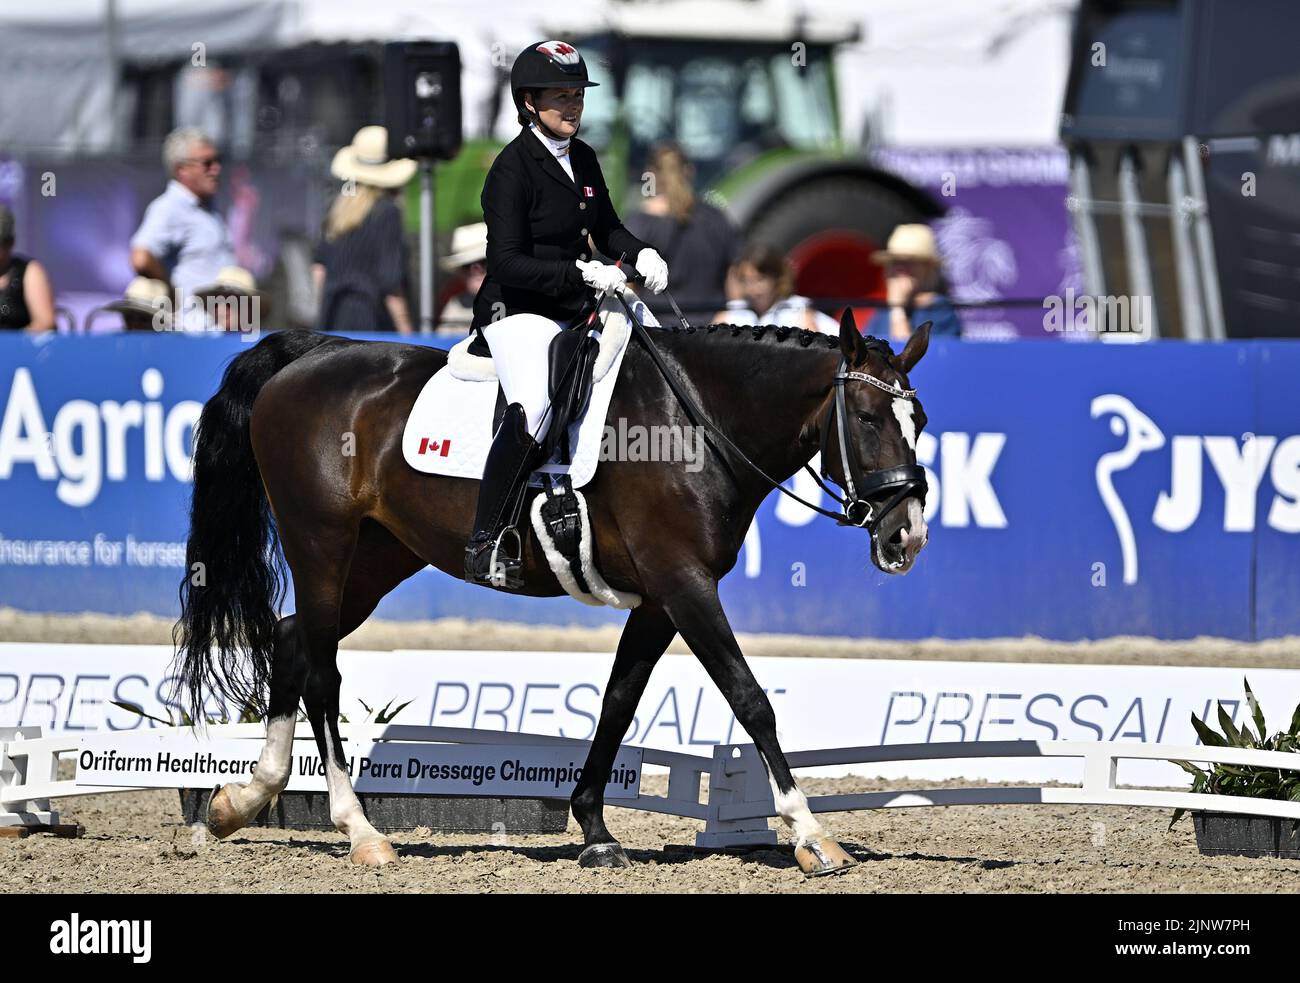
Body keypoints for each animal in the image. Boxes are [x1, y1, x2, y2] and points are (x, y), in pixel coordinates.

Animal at [172, 297, 930, 873]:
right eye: (868, 419)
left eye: (917, 422)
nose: (907, 536)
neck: (696, 422)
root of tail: (310, 355)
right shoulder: (685, 584)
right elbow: (751, 700)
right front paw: (811, 835)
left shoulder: (661, 599)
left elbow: (619, 703)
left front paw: (594, 829)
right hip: (320, 542)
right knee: (322, 668)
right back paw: (360, 830)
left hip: (378, 557)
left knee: (293, 641)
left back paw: (236, 805)